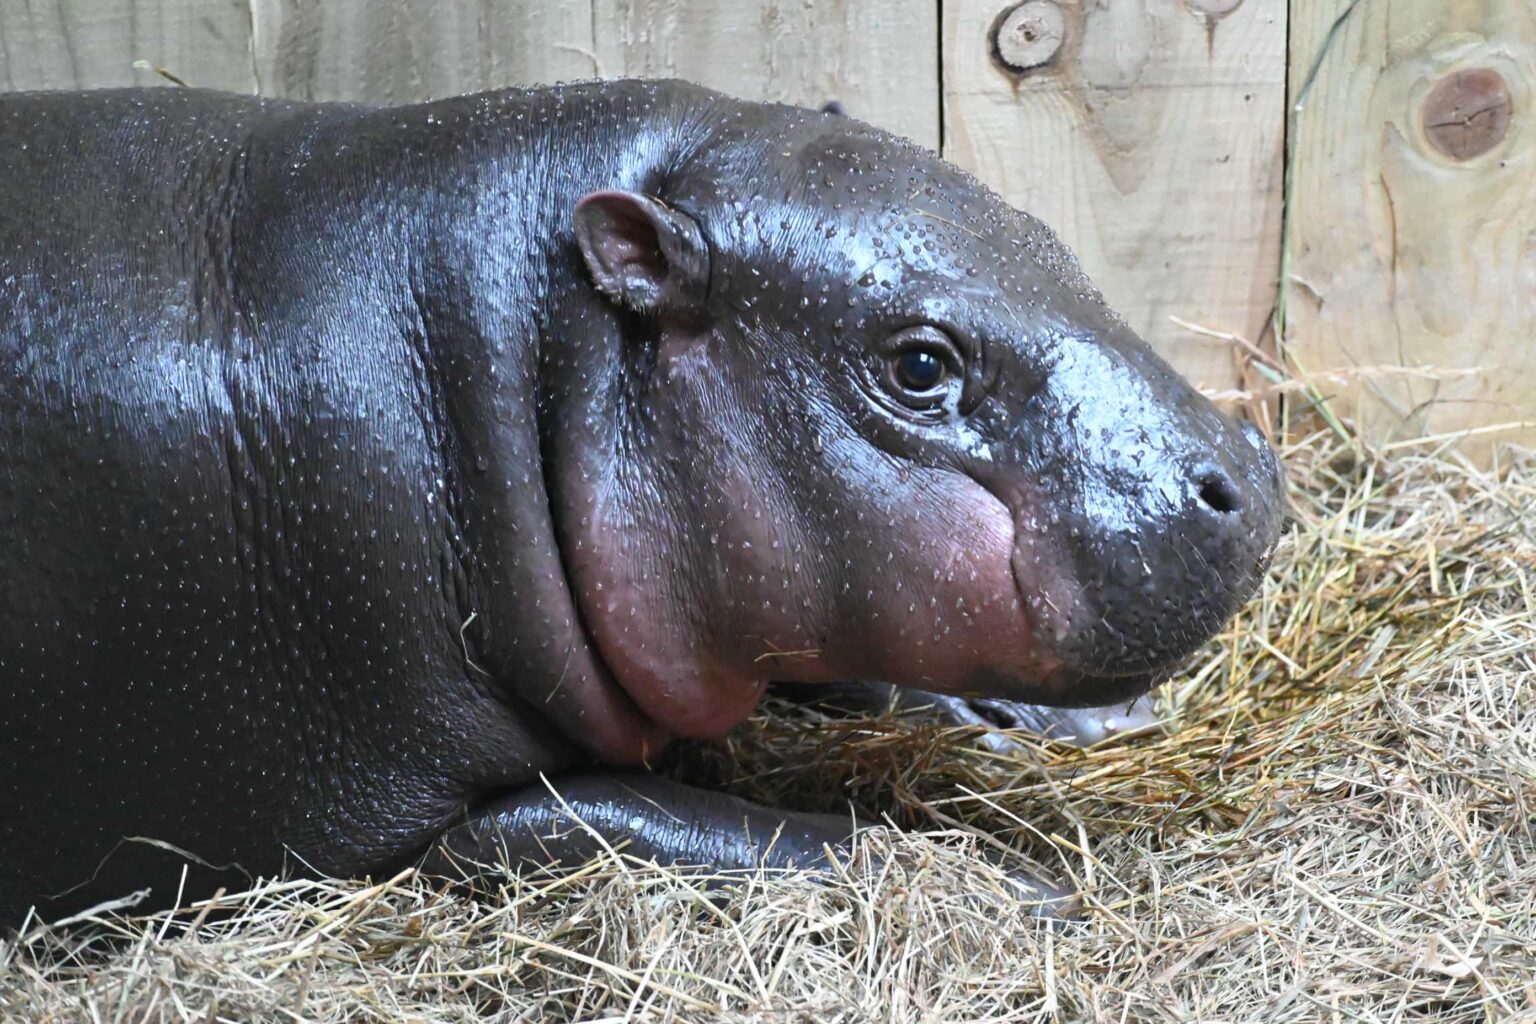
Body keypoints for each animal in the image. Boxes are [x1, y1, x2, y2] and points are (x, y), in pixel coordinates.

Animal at [0, 80, 1282, 929]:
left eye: (1039, 232)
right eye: (919, 364)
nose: (1245, 468)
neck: (517, 357)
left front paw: (1055, 728)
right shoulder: (446, 815)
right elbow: (731, 828)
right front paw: (1002, 878)